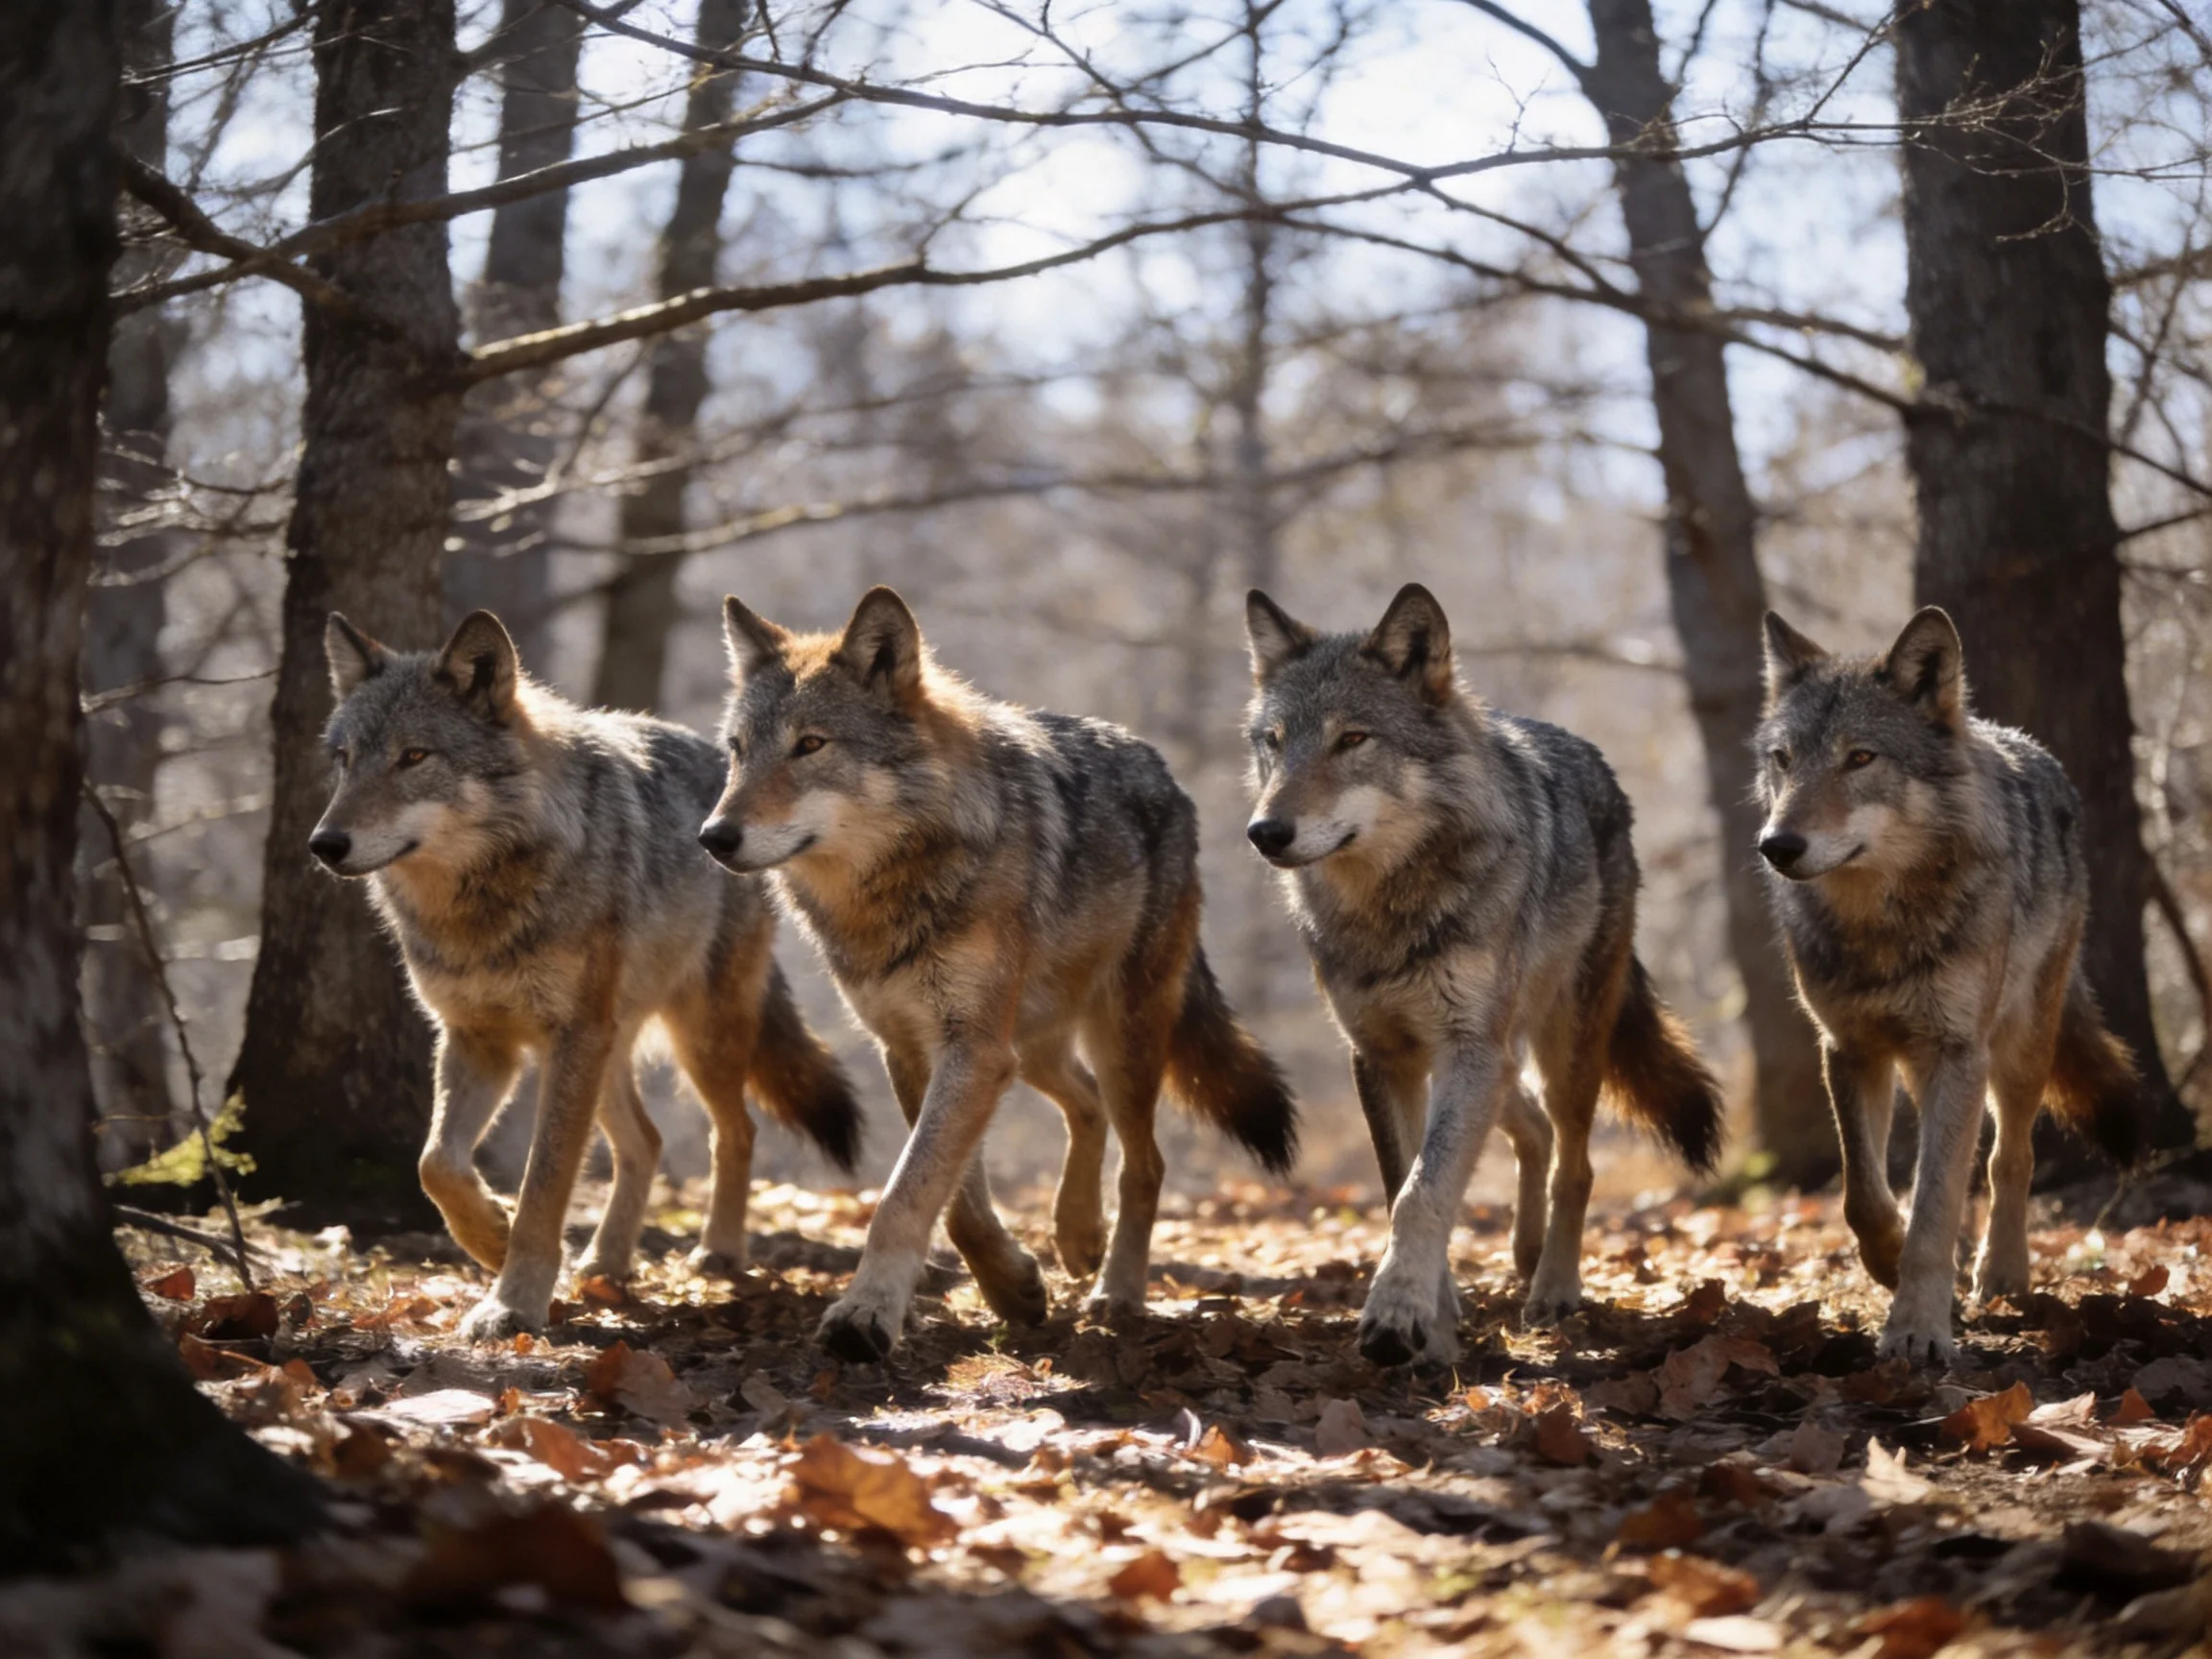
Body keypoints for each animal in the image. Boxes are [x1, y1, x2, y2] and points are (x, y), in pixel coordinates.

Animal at [310, 610, 861, 1341]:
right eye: (344, 761)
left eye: (414, 758)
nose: (324, 844)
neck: (480, 906)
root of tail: (727, 774)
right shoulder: (476, 1040)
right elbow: (436, 1165)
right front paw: (491, 1238)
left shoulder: (567, 1036)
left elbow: (544, 1184)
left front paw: (513, 1300)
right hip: (601, 1049)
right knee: (647, 1142)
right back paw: (607, 1262)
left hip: (690, 1038)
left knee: (736, 1131)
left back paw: (716, 1252)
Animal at [699, 586, 1297, 1362]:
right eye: (737, 752)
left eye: (810, 745)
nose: (713, 837)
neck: (891, 889)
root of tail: (1164, 774)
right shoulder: (917, 1049)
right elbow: (956, 1202)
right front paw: (1013, 1287)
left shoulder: (974, 1049)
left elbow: (905, 1195)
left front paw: (865, 1315)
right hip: (1033, 1043)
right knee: (1086, 1104)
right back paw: (1076, 1234)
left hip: (1122, 1036)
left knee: (1145, 1162)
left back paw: (1117, 1291)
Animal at [1243, 583, 1723, 1367]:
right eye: (1275, 742)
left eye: (1353, 740)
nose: (1265, 833)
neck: (1389, 911)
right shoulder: (1384, 1057)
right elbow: (1401, 1185)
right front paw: (1435, 1322)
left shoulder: (1466, 1050)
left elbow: (1422, 1192)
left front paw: (1395, 1315)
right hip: (1491, 1058)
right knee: (1532, 1127)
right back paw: (1525, 1256)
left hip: (1562, 1045)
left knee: (1573, 1162)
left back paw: (1553, 1288)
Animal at [1756, 606, 2140, 1363]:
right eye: (1783, 760)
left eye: (1861, 758)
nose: (1776, 846)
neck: (1882, 926)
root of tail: (2029, 748)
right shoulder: (1848, 1047)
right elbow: (1864, 1193)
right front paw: (1887, 1261)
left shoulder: (1957, 1050)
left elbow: (1936, 1204)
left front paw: (1917, 1327)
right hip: (1922, 1064)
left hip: (2016, 1050)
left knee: (2008, 1159)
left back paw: (2002, 1272)